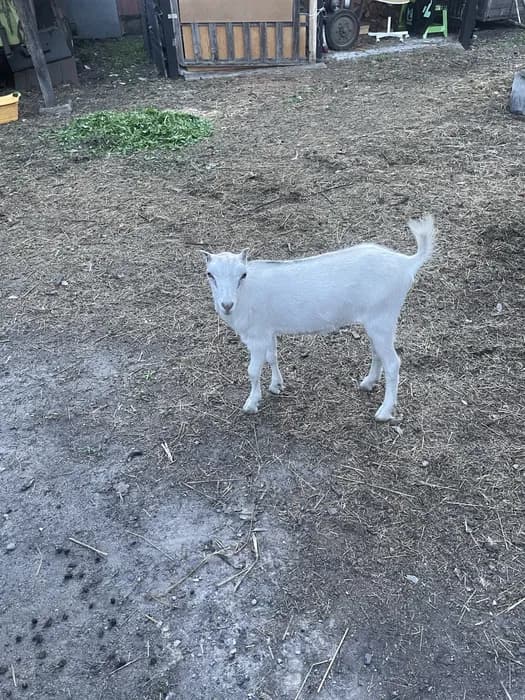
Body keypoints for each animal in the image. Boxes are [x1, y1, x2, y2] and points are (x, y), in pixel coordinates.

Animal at [202, 215, 434, 421]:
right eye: (210, 274)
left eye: (242, 275)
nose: (227, 305)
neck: (246, 294)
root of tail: (406, 263)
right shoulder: (268, 329)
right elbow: (272, 356)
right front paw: (277, 385)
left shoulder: (256, 335)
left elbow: (252, 370)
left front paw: (251, 404)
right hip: (375, 320)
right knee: (378, 353)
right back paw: (368, 383)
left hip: (383, 317)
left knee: (393, 363)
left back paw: (384, 413)